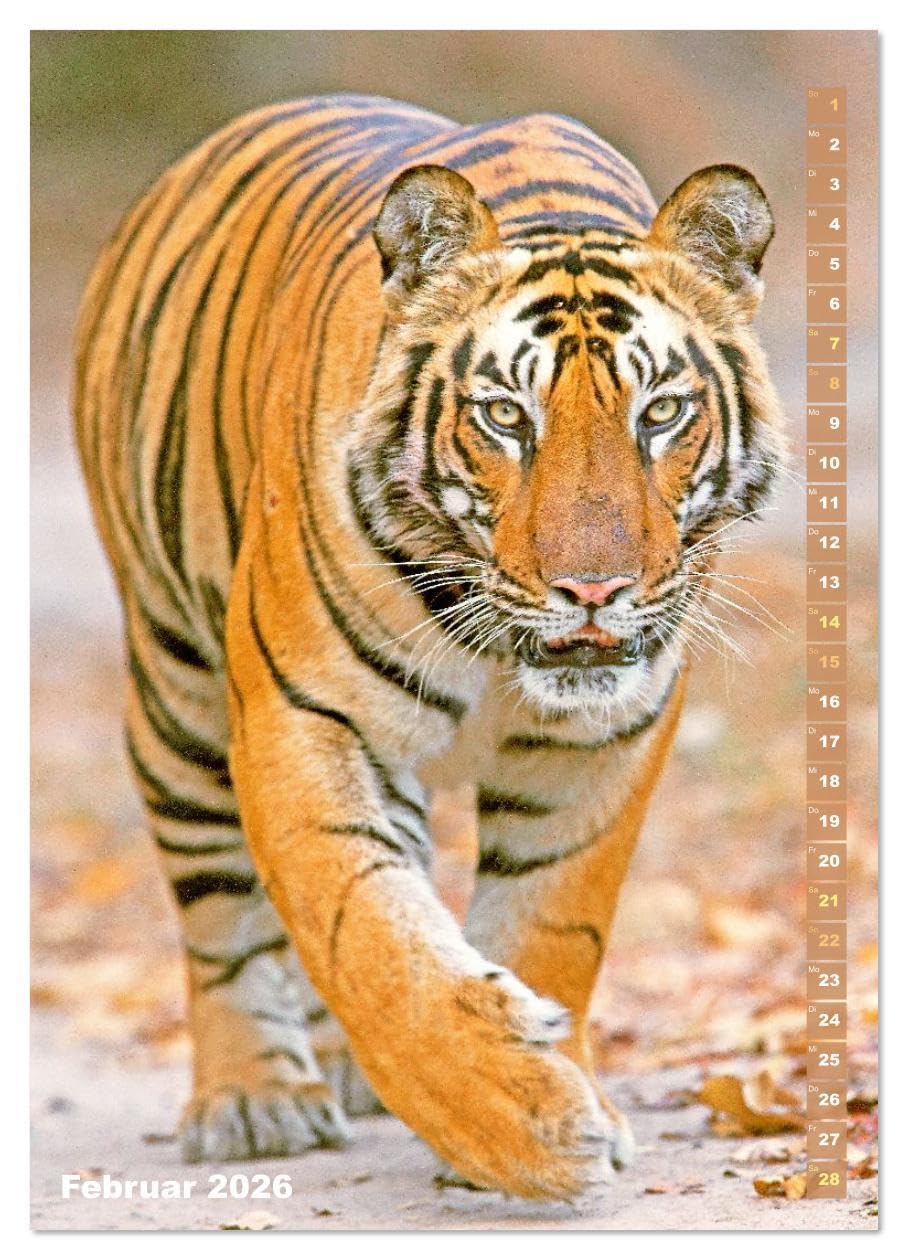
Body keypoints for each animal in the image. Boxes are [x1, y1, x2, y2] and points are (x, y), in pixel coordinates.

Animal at [74, 93, 785, 1200]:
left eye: (661, 411)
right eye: (504, 416)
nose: (595, 590)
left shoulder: (604, 741)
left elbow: (552, 922)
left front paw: (551, 1086)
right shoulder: (301, 715)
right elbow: (360, 929)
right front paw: (520, 1123)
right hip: (176, 693)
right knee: (217, 906)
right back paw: (254, 1100)